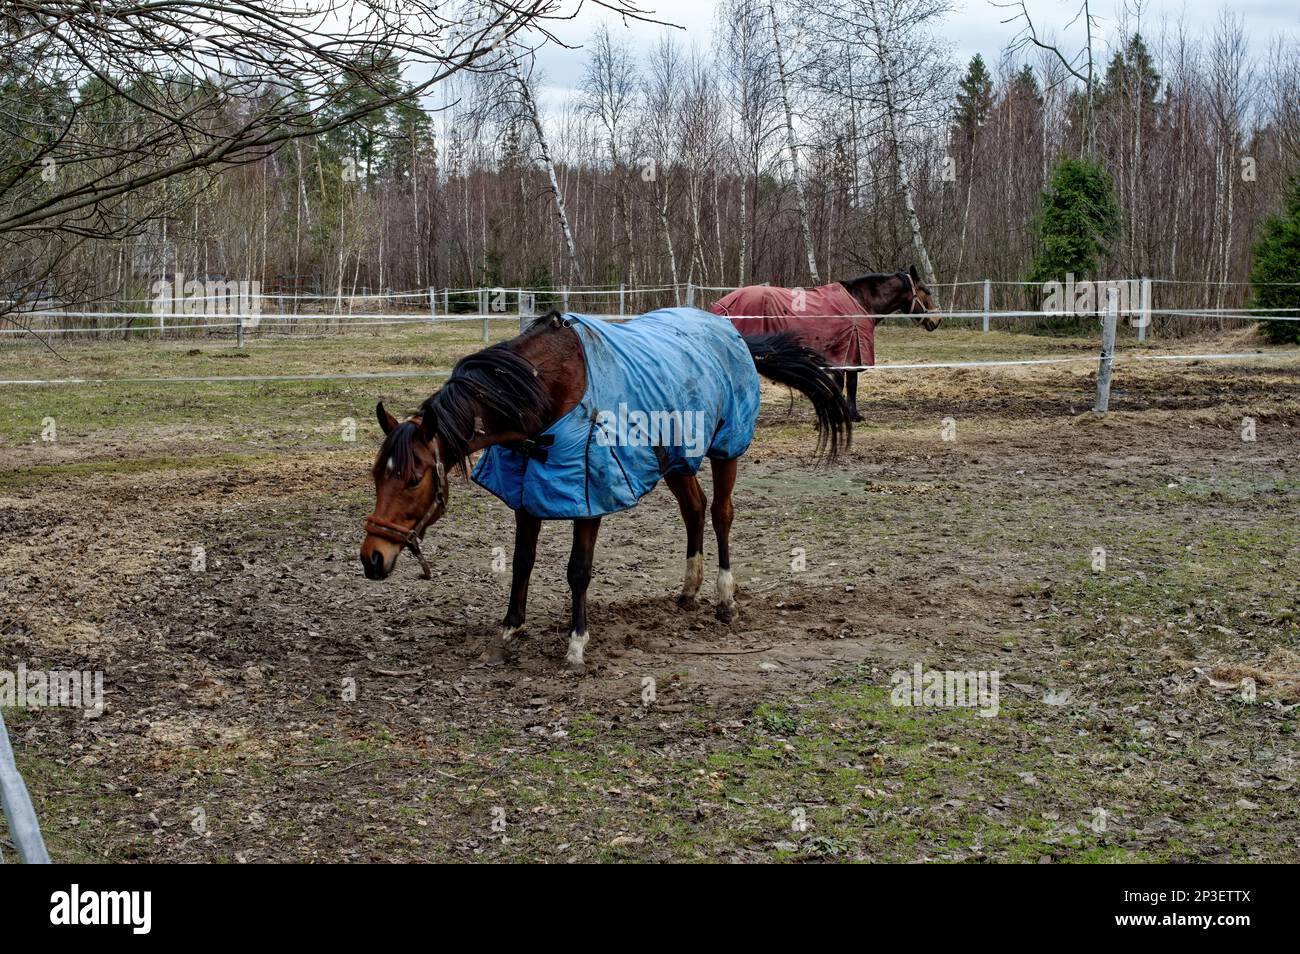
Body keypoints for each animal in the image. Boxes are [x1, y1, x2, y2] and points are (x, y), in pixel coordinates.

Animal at [717, 267, 941, 421]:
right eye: (926, 291)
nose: (937, 321)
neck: (860, 302)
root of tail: (725, 304)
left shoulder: (841, 357)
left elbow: (842, 385)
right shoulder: (851, 354)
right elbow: (850, 385)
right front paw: (851, 415)